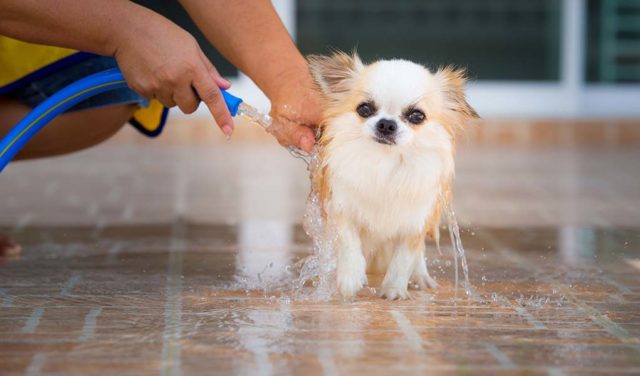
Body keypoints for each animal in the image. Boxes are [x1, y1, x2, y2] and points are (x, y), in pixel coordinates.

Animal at [308, 52, 478, 300]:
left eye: (417, 116)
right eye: (364, 109)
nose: (387, 124)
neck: (387, 162)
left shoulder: (415, 222)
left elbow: (404, 259)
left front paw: (394, 290)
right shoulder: (340, 206)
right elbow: (348, 242)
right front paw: (350, 278)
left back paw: (422, 277)